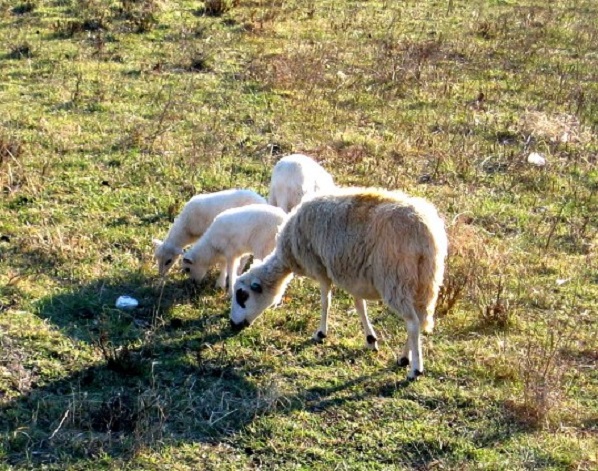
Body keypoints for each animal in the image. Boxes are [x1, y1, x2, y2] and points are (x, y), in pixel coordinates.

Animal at [230, 186, 450, 382]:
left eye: (242, 295)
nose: (232, 325)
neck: (288, 254)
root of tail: (425, 232)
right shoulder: (353, 273)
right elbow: (359, 305)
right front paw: (370, 339)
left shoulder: (320, 266)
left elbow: (325, 301)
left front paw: (320, 333)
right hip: (425, 282)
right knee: (418, 319)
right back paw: (404, 358)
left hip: (396, 279)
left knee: (412, 323)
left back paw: (415, 369)